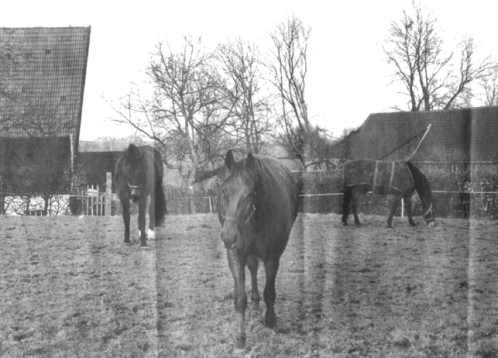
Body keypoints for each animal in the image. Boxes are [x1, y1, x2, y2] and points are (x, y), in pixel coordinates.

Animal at [219, 150, 300, 348]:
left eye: (250, 194)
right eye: (224, 191)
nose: (228, 236)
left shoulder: (272, 257)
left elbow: (269, 293)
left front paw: (270, 320)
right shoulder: (235, 254)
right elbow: (241, 298)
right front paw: (240, 337)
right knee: (252, 270)